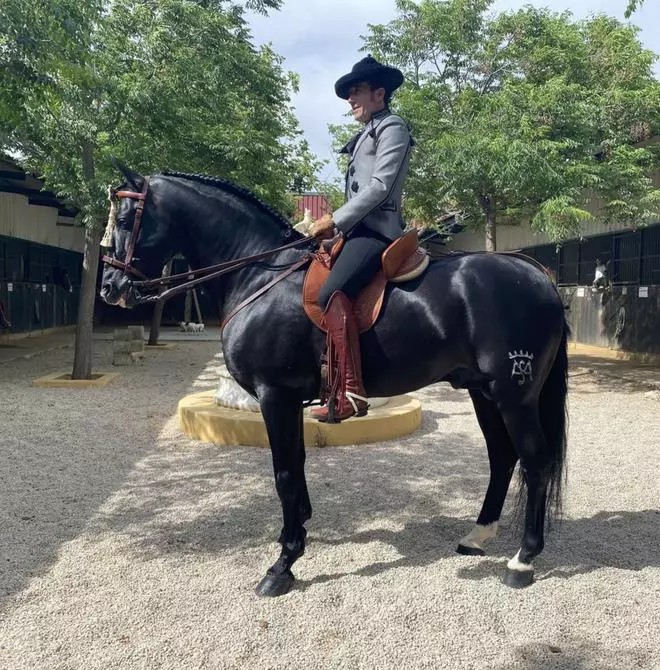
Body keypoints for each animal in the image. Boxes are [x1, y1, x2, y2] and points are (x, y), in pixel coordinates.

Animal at [100, 165, 568, 600]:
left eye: (124, 220)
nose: (110, 288)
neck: (260, 273)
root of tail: (537, 274)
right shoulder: (288, 400)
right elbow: (298, 463)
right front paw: (295, 533)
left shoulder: (275, 396)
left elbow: (284, 472)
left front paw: (283, 564)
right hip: (483, 392)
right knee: (502, 457)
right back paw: (478, 535)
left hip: (514, 395)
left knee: (535, 461)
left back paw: (523, 559)